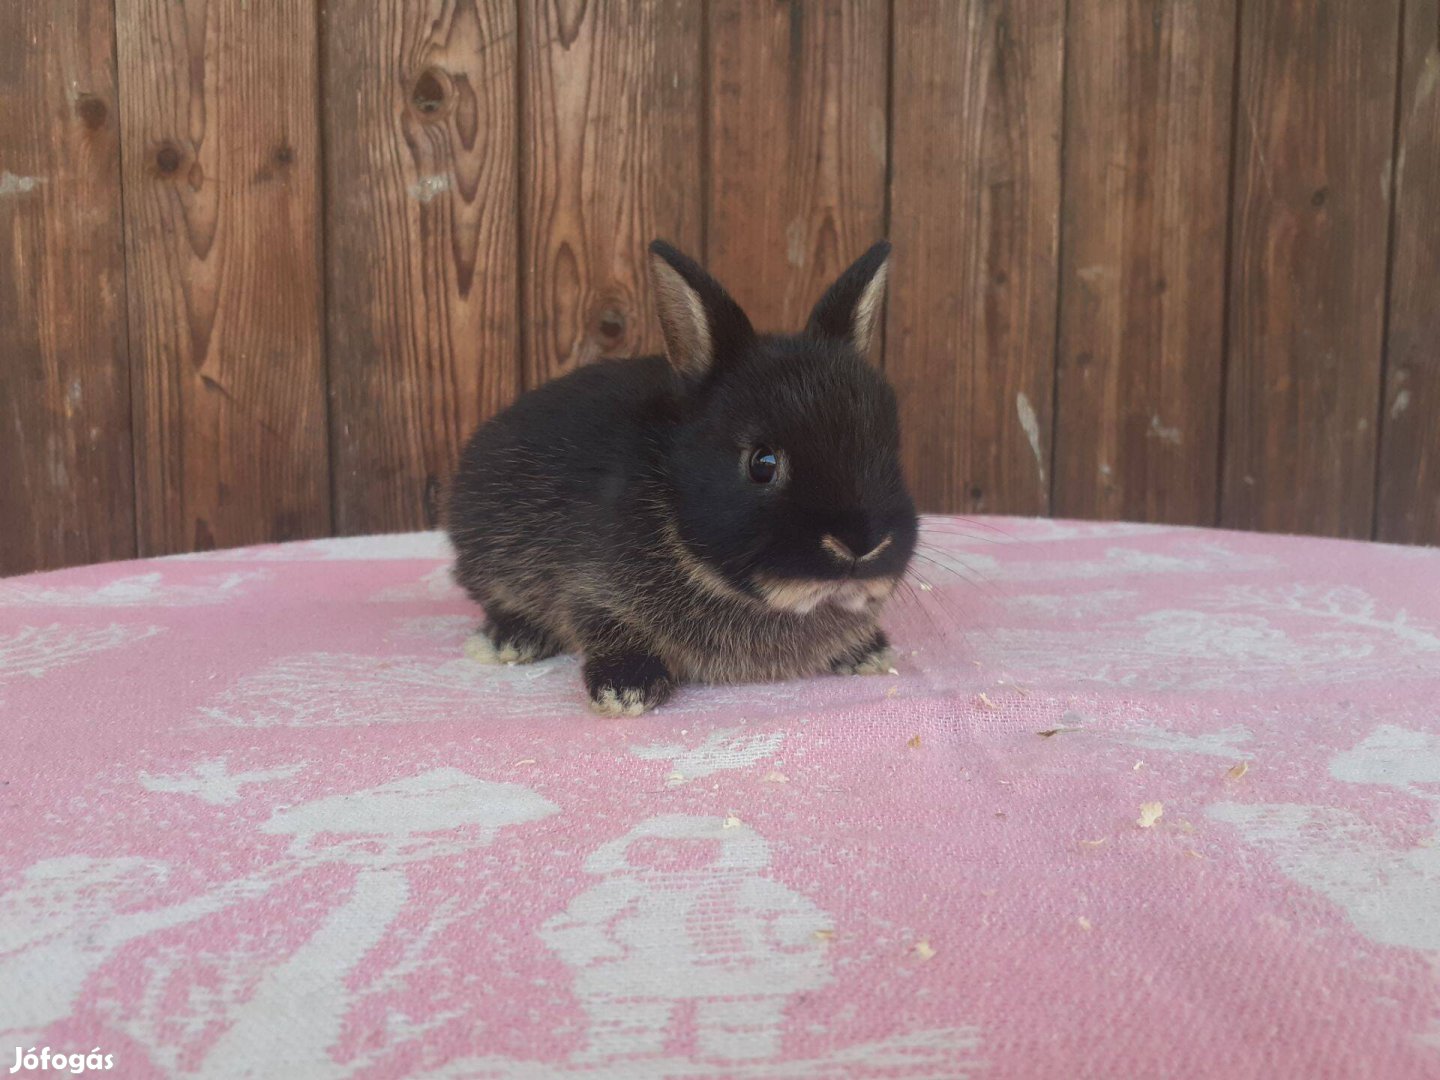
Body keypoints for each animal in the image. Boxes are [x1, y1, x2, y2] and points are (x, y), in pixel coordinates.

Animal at [449, 240, 915, 714]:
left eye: (889, 451)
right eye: (762, 463)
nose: (861, 544)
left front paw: (869, 652)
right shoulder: (588, 587)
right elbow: (602, 624)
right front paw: (625, 689)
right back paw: (509, 641)